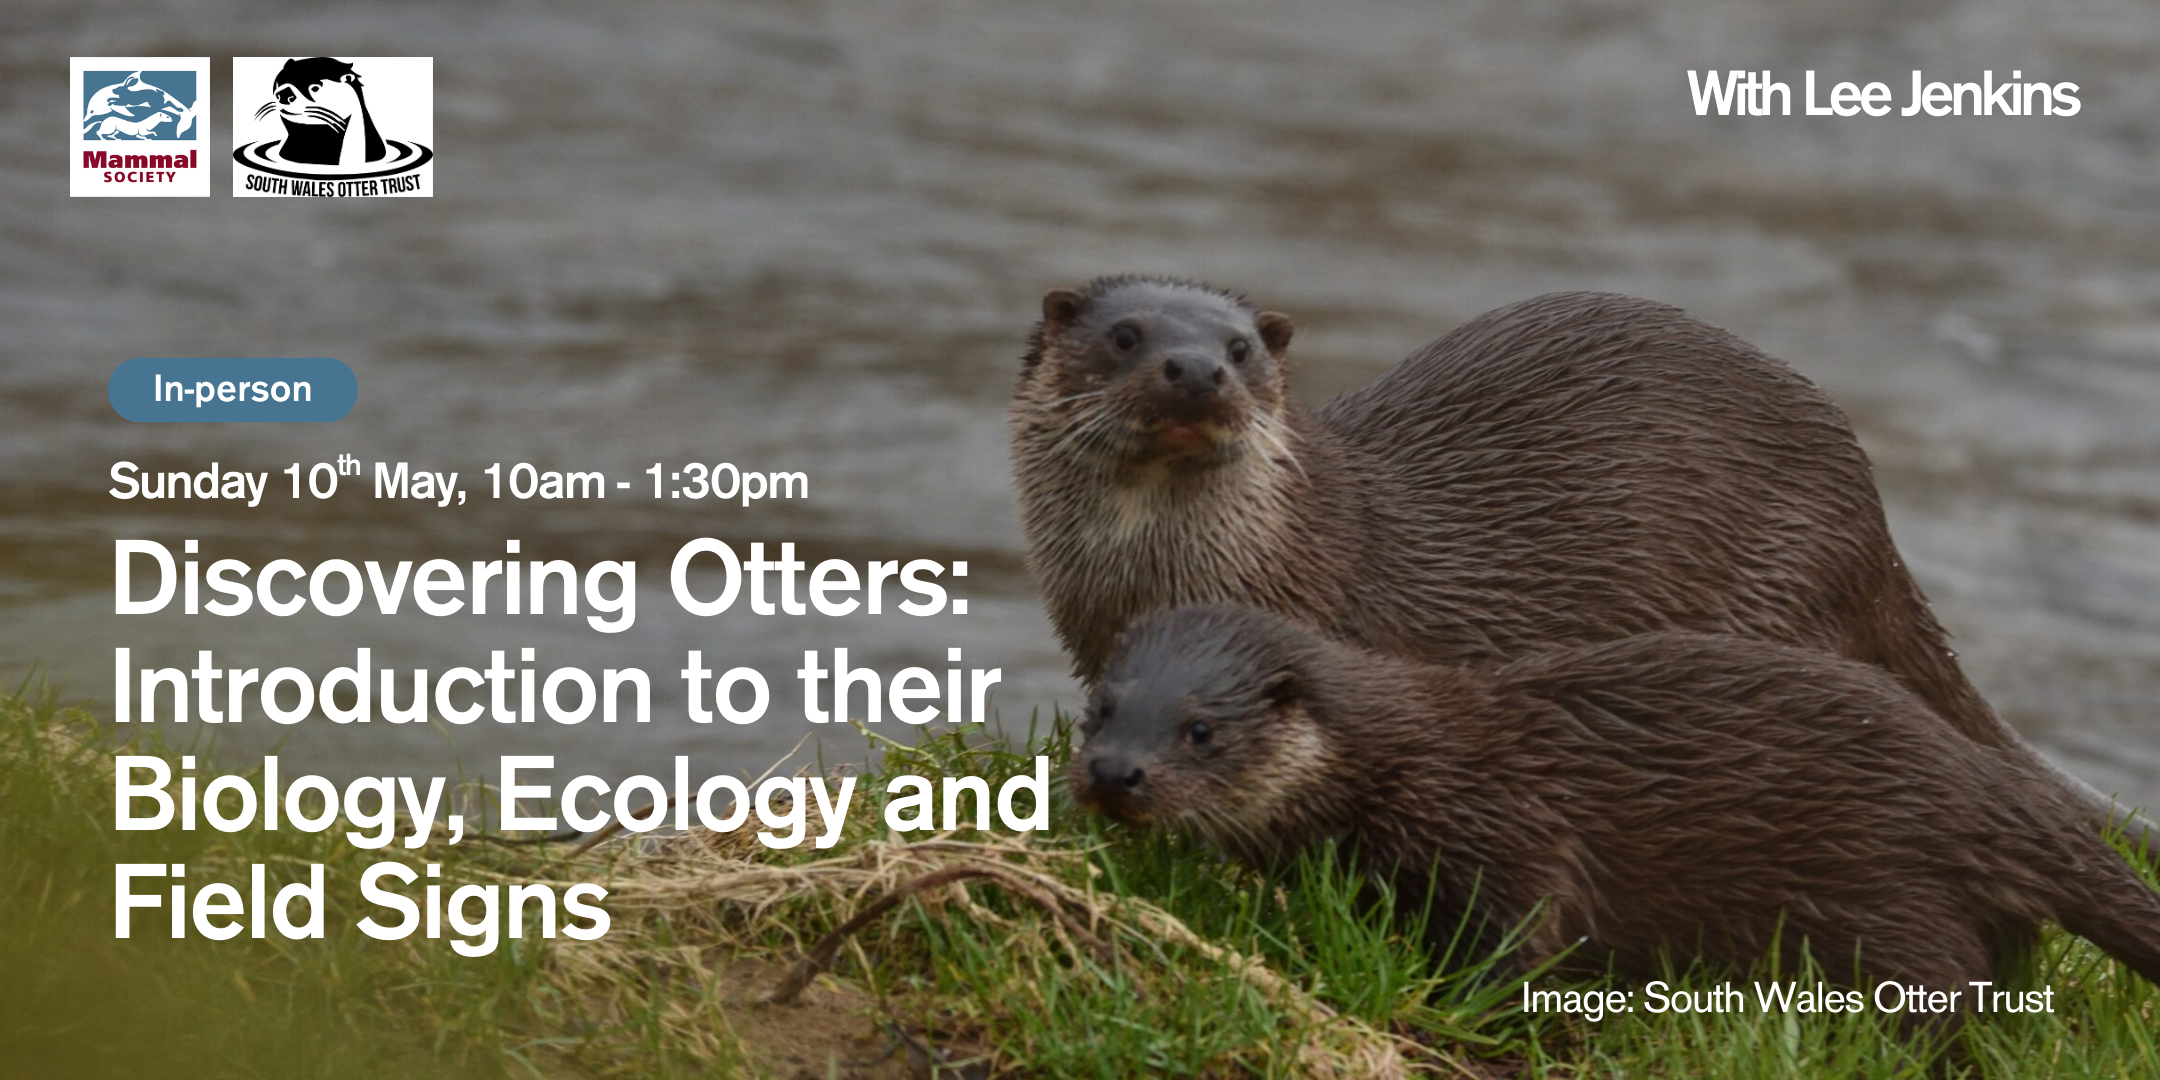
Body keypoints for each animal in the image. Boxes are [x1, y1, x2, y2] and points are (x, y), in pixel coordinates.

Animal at [1071, 604, 2160, 1014]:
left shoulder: (1507, 830)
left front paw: (1448, 1002)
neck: (1411, 762)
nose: (1114, 775)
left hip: (1888, 893)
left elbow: (1524, 936)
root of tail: (1974, 782)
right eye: (1103, 708)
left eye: (1200, 730)